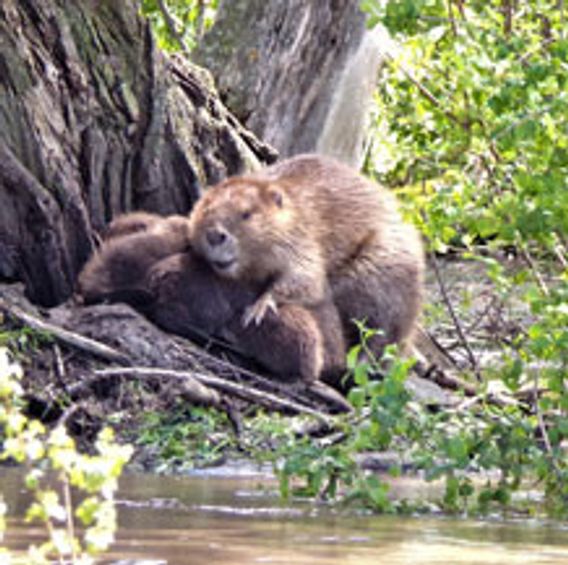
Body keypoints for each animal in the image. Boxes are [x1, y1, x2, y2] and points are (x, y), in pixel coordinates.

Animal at [189, 153, 424, 356]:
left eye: (246, 214)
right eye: (206, 208)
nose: (214, 235)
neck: (293, 208)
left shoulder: (302, 238)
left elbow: (307, 281)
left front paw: (257, 310)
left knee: (382, 330)